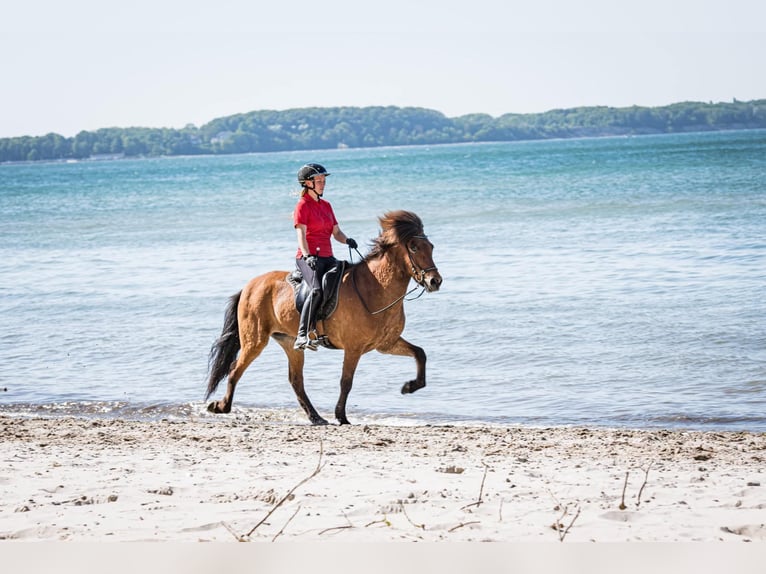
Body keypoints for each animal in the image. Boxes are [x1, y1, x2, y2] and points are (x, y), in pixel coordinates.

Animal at [204, 209, 444, 426]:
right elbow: (346, 382)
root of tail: (249, 286)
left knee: (296, 381)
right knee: (236, 369)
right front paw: (341, 416)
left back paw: (316, 417)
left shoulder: (386, 344)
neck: (375, 288)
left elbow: (420, 354)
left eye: (431, 247)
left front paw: (410, 386)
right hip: (255, 341)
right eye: (414, 247)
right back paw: (221, 407)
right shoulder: (353, 348)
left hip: (289, 342)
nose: (435, 281)